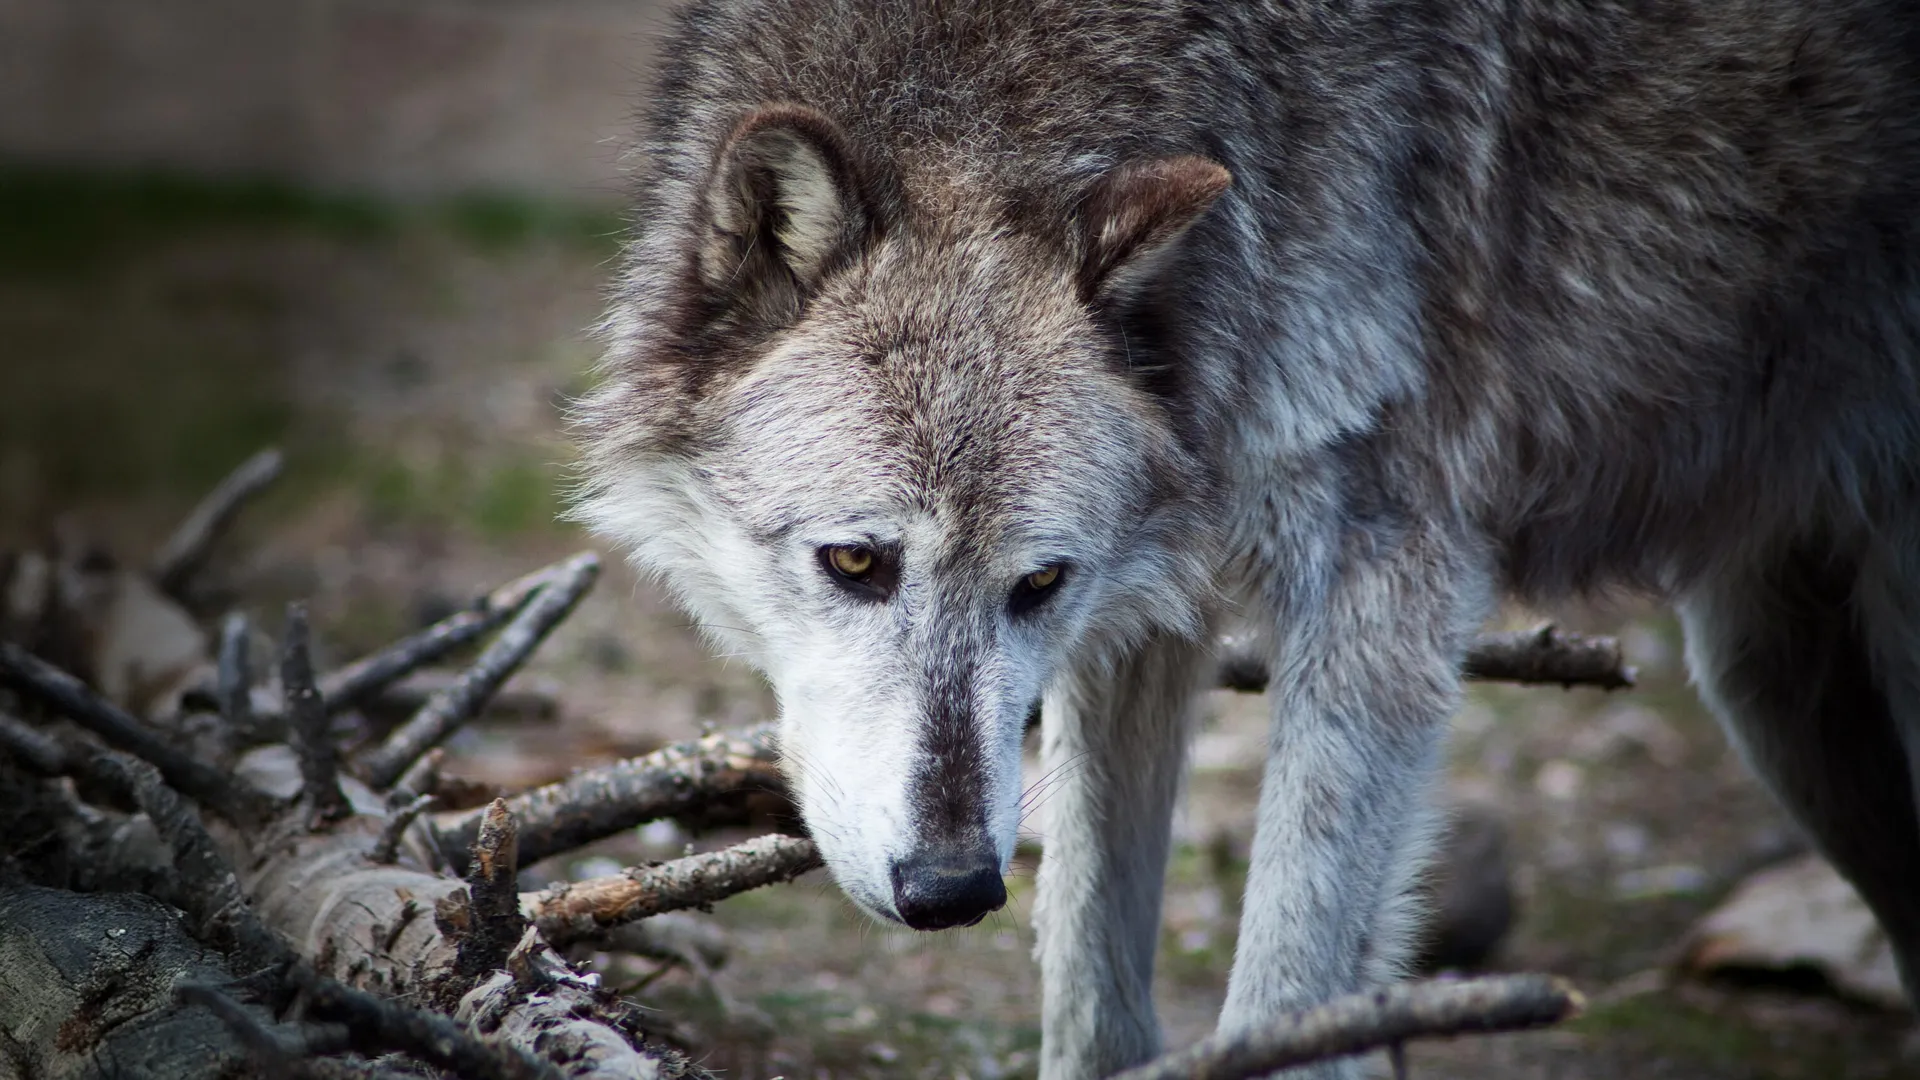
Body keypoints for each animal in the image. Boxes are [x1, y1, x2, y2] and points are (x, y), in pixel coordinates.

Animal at [572, 1, 1920, 1075]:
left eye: (1039, 582)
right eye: (856, 561)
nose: (953, 890)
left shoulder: (1384, 590)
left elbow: (1283, 1001)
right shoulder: (1142, 626)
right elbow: (1093, 997)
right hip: (1773, 690)